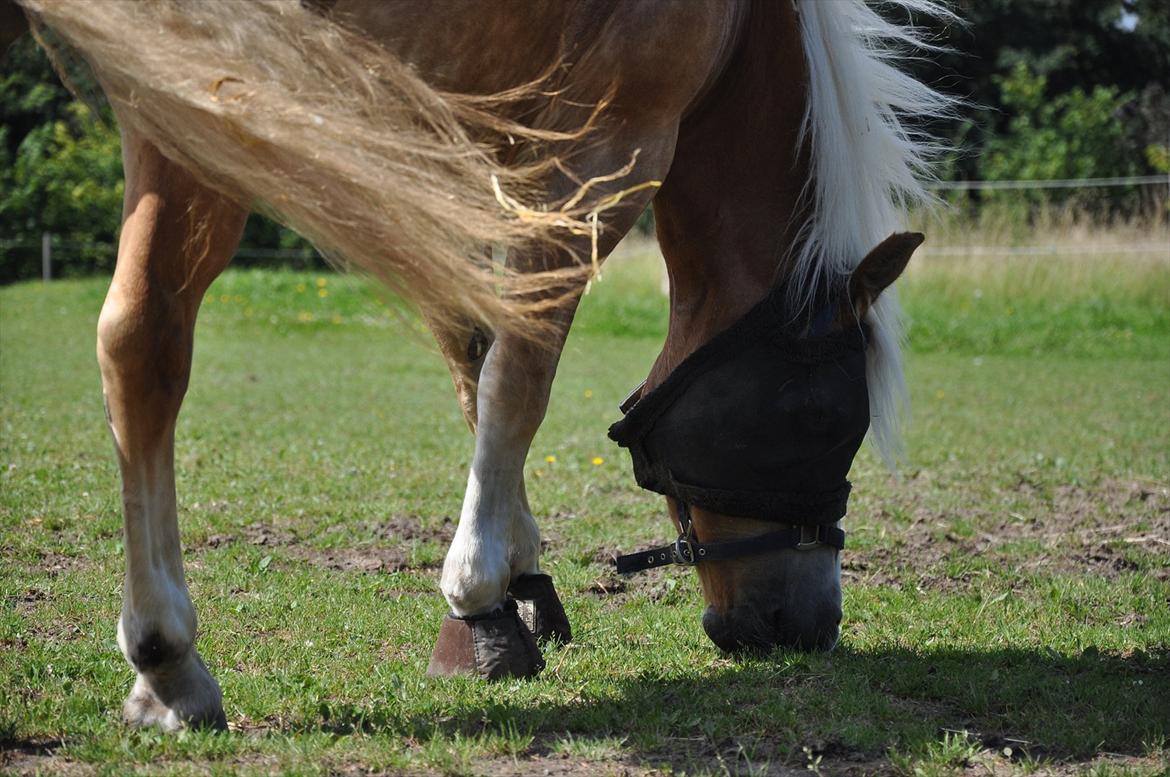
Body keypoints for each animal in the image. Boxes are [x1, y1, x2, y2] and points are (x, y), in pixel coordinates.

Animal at [11, 0, 950, 730]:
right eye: (822, 419)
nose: (809, 625)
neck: (739, 29)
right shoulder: (606, 149)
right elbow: (518, 375)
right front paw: (478, 598)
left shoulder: (479, 148)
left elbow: (475, 355)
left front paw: (522, 572)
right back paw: (169, 647)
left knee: (139, 339)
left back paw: (164, 668)